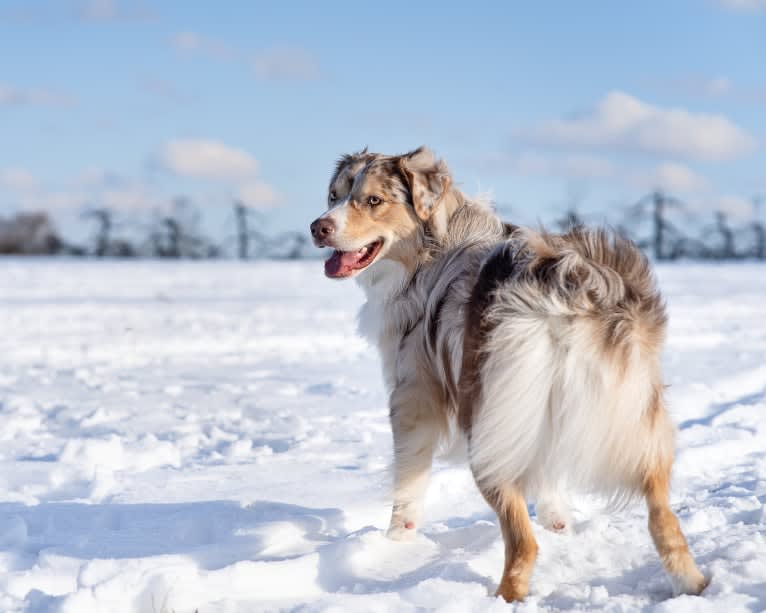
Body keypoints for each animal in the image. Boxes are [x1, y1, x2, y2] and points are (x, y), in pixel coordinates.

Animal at [310, 146, 708, 600]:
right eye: (333, 195)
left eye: (374, 200)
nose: (318, 227)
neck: (434, 245)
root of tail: (563, 285)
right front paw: (559, 521)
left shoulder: (412, 393)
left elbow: (407, 480)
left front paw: (396, 541)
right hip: (634, 415)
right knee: (663, 517)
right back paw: (693, 583)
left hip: (485, 428)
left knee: (523, 542)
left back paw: (504, 596)